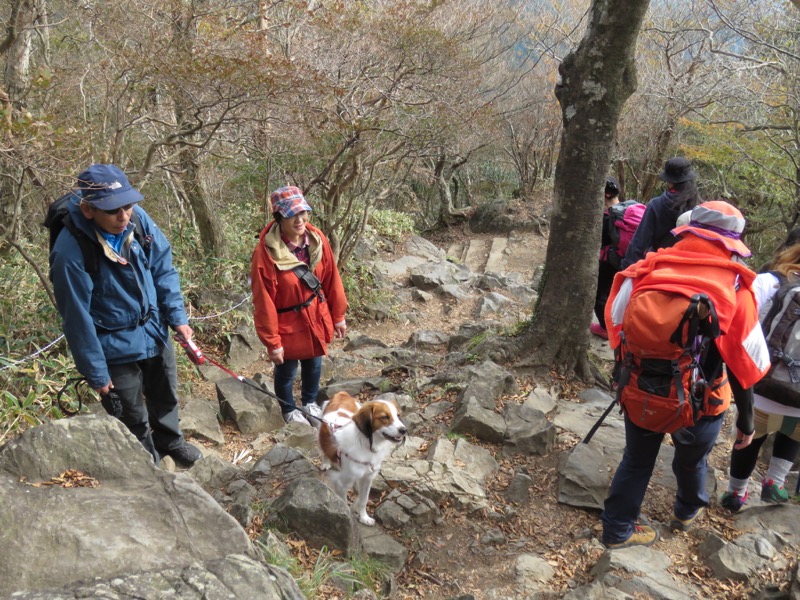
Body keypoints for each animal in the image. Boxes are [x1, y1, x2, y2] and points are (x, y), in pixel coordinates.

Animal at [318, 392, 406, 524]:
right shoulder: (342, 483)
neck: (367, 445)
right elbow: (344, 504)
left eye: (398, 415)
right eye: (385, 417)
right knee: (323, 448)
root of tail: (342, 394)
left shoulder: (367, 478)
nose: (404, 430)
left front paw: (364, 517)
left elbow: (363, 499)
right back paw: (326, 462)